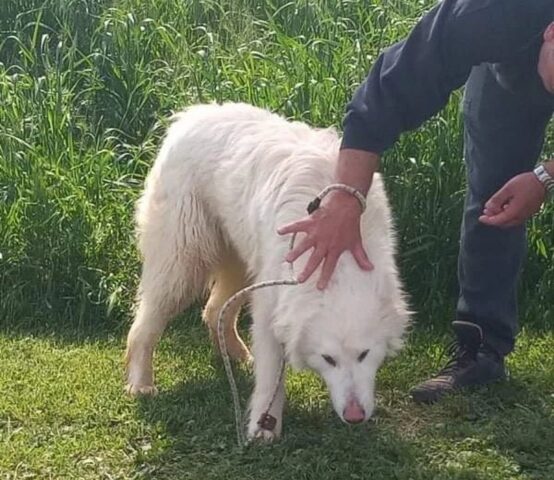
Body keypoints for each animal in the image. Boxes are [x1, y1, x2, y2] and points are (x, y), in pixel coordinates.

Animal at [126, 103, 410, 440]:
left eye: (365, 354)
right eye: (328, 359)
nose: (354, 417)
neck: (336, 261)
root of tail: (191, 115)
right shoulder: (270, 307)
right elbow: (271, 372)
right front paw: (264, 426)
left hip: (241, 265)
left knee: (214, 311)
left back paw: (237, 356)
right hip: (181, 265)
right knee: (144, 326)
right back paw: (140, 383)